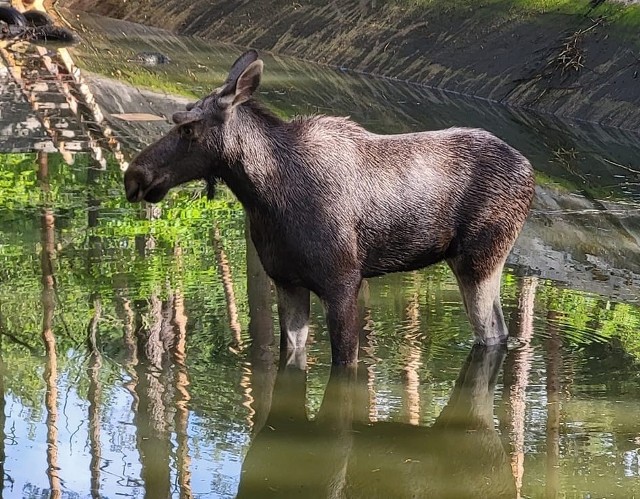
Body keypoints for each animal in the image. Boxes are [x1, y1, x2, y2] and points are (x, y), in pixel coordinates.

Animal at [122, 48, 532, 366]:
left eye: (187, 128)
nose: (134, 176)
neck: (266, 199)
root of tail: (528, 171)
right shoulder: (286, 281)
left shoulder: (343, 282)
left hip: (480, 259)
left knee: (494, 331)